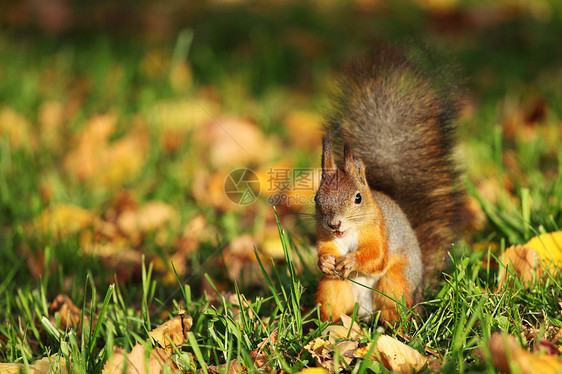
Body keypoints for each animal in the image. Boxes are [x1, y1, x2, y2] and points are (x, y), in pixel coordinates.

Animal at [312, 45, 466, 322]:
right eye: (317, 199)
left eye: (358, 198)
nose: (334, 224)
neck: (349, 232)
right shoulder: (324, 236)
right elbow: (324, 253)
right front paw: (324, 263)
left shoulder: (379, 231)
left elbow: (377, 258)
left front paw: (351, 262)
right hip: (332, 288)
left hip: (394, 284)